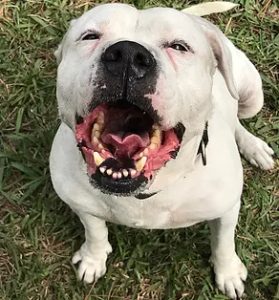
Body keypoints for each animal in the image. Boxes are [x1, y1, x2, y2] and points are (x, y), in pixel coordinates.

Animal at [49, 3, 276, 298]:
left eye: (179, 46)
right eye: (90, 36)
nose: (128, 54)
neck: (147, 192)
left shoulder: (227, 209)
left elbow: (224, 242)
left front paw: (228, 272)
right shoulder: (81, 203)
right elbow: (95, 230)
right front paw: (93, 257)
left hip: (251, 94)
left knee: (238, 117)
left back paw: (254, 147)